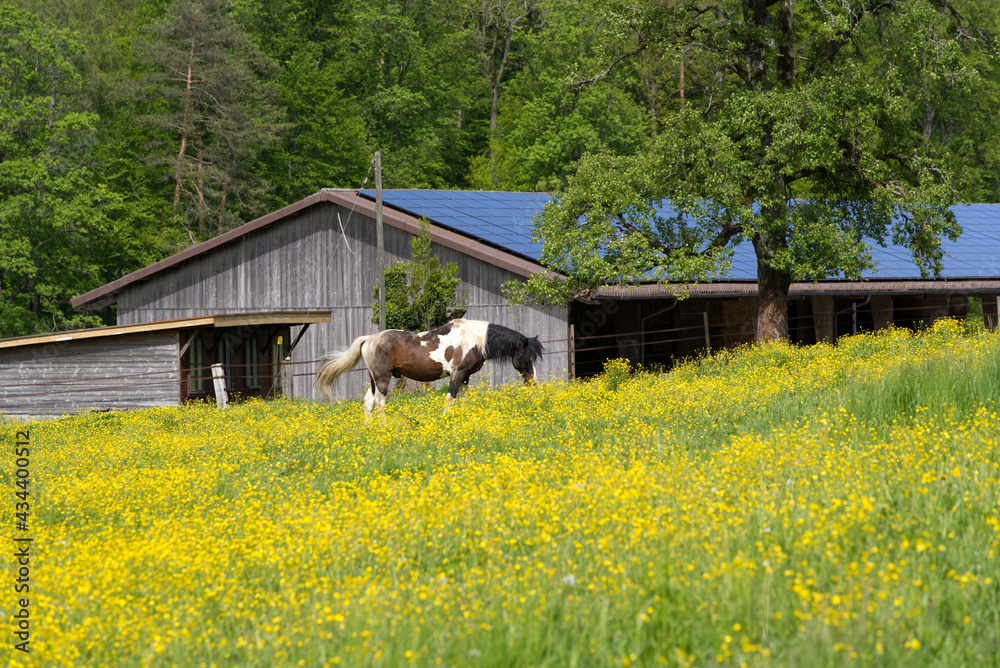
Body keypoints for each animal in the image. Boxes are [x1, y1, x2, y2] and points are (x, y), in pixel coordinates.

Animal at [314, 318, 544, 418]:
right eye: (528, 357)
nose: (533, 382)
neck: (473, 339)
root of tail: (368, 338)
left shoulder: (466, 377)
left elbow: (463, 401)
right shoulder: (457, 374)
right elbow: (450, 398)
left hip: (373, 380)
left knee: (368, 402)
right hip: (382, 379)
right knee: (379, 403)